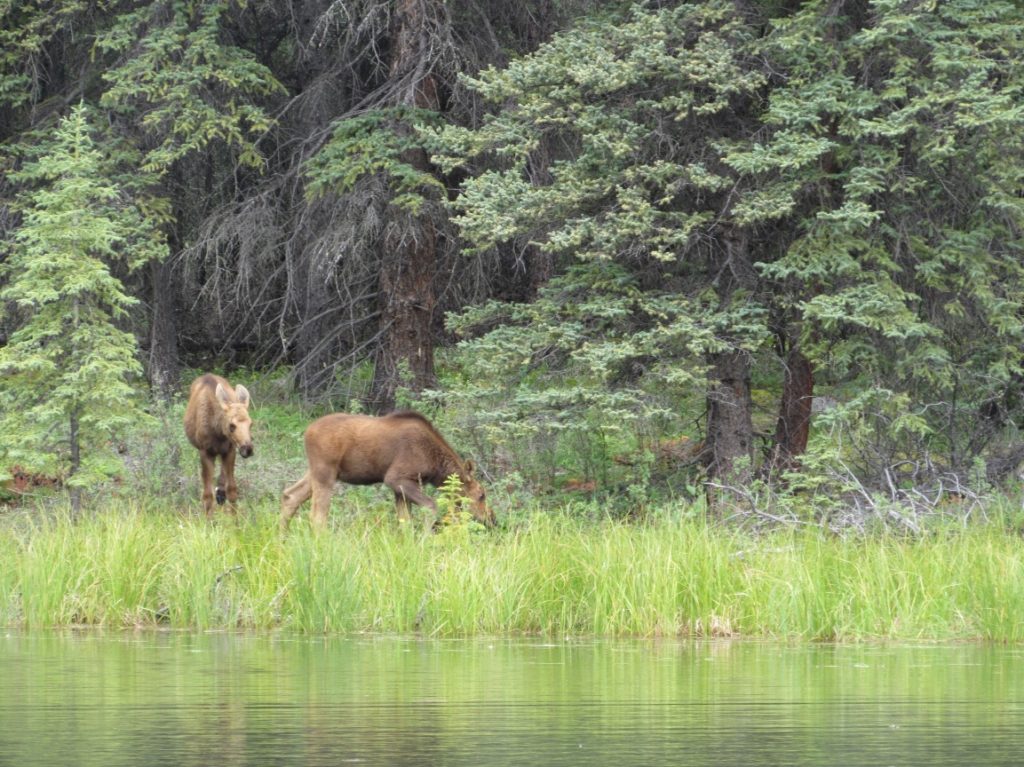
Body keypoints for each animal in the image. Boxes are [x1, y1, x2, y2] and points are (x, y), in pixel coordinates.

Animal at [182, 374, 251, 518]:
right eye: (232, 425)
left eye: (251, 424)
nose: (248, 449)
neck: (218, 431)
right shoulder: (205, 451)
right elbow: (207, 495)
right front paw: (209, 522)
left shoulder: (230, 449)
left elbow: (232, 490)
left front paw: (236, 521)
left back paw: (220, 492)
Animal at [278, 409, 489, 528]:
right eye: (481, 495)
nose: (491, 519)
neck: (435, 466)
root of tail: (306, 432)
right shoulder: (396, 478)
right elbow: (431, 506)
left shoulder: (401, 487)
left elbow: (405, 522)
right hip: (325, 472)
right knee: (317, 516)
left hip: (316, 471)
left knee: (290, 495)